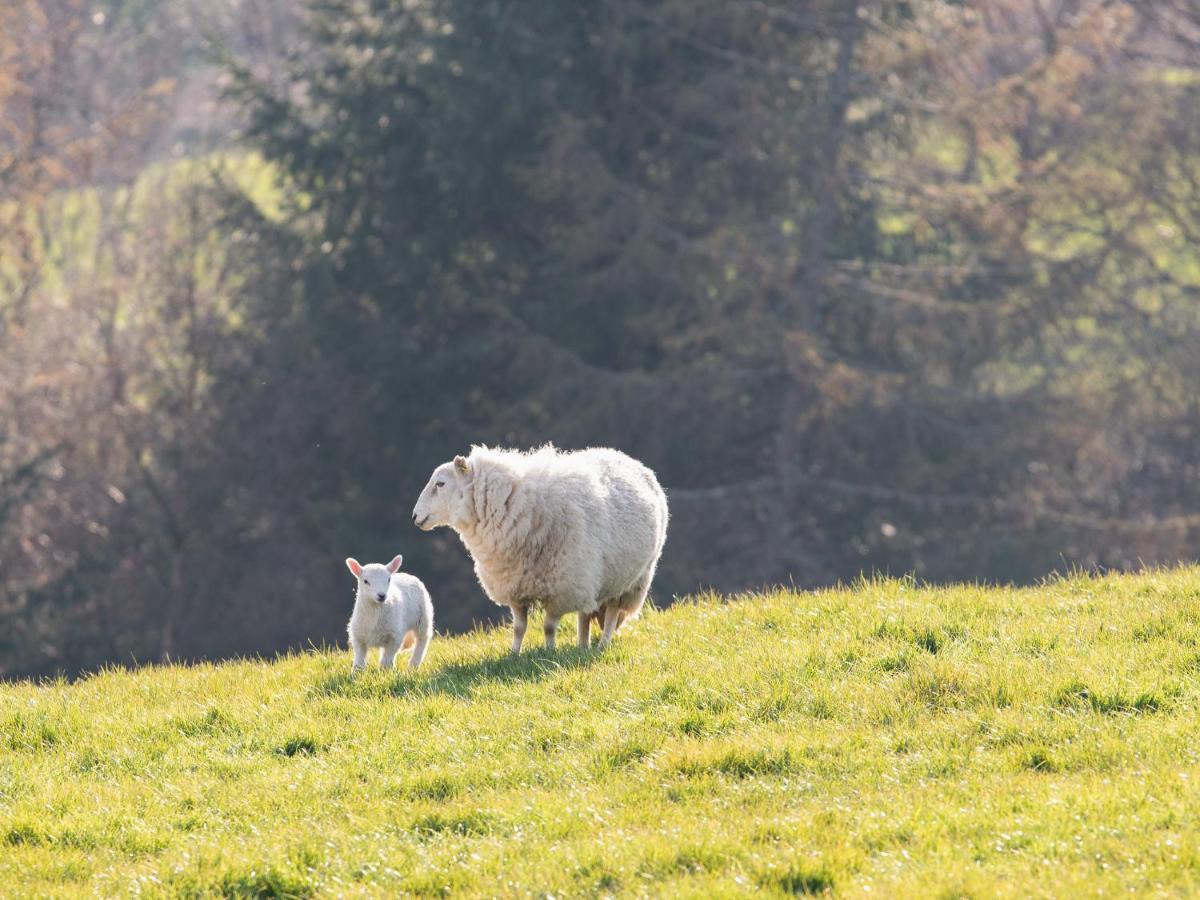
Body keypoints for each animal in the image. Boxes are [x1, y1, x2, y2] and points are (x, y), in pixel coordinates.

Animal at [412, 446, 672, 652]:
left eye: (440, 484)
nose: (415, 516)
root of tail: (628, 458)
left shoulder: (560, 589)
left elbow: (547, 627)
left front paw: (549, 652)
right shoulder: (514, 586)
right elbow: (519, 627)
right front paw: (514, 655)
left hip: (628, 579)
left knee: (610, 615)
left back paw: (601, 645)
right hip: (591, 576)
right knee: (585, 613)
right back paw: (582, 645)